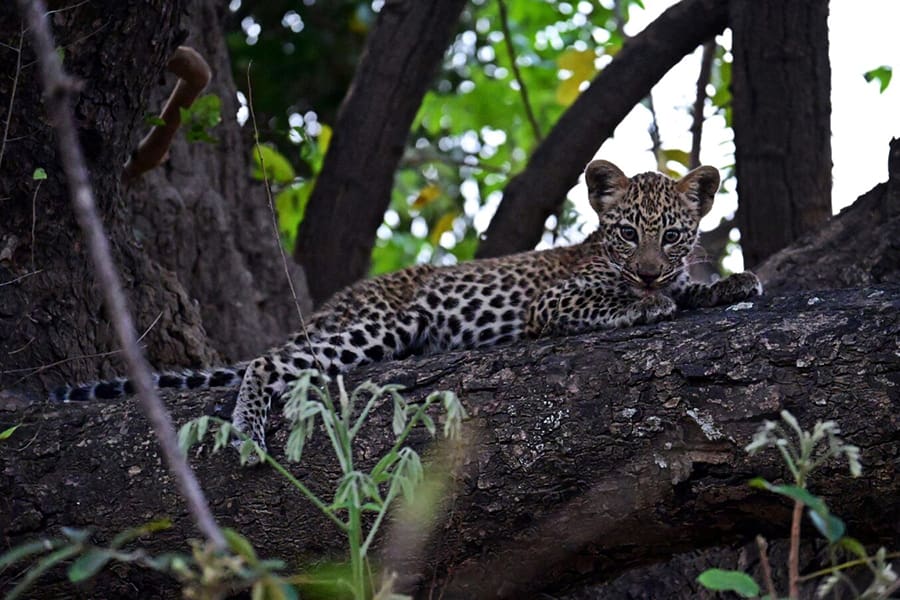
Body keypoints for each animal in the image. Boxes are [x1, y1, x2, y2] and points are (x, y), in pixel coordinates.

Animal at [54, 158, 760, 454]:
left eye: (674, 235)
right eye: (626, 233)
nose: (648, 269)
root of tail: (335, 304)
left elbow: (693, 289)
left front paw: (730, 284)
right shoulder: (551, 301)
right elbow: (605, 298)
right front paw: (644, 306)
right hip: (383, 325)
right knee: (267, 362)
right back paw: (249, 432)